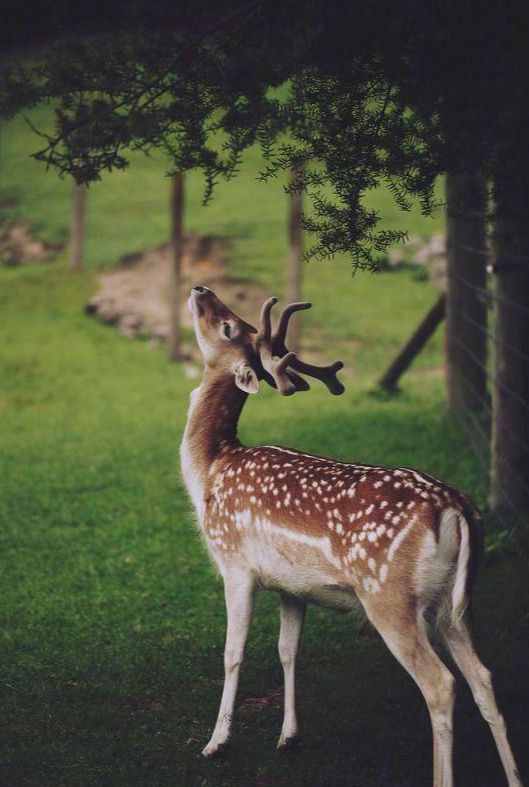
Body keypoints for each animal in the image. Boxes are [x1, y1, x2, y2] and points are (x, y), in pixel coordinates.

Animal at [179, 284, 520, 787]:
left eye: (228, 326)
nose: (201, 289)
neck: (210, 471)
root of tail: (456, 507)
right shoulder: (292, 586)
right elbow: (287, 650)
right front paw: (289, 736)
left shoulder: (235, 564)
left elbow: (233, 652)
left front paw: (216, 743)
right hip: (453, 604)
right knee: (483, 676)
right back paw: (514, 775)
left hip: (389, 596)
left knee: (441, 684)